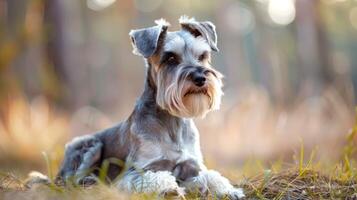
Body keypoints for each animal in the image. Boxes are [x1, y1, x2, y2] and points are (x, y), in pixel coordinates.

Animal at [55, 16, 243, 199]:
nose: (200, 78)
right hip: (87, 144)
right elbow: (152, 177)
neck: (172, 120)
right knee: (72, 179)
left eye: (202, 55)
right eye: (170, 58)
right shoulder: (135, 171)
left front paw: (228, 190)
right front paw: (168, 188)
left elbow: (210, 175)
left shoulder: (192, 165)